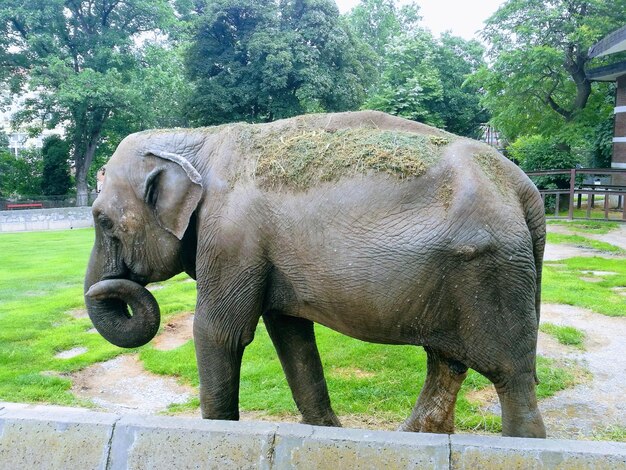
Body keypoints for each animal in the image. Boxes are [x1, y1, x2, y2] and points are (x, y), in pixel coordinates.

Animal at [84, 109, 544, 436]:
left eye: (103, 221)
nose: (101, 289)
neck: (197, 138)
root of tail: (523, 185)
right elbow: (291, 336)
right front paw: (326, 431)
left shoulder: (231, 237)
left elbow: (218, 332)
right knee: (446, 361)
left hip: (493, 272)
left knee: (510, 375)